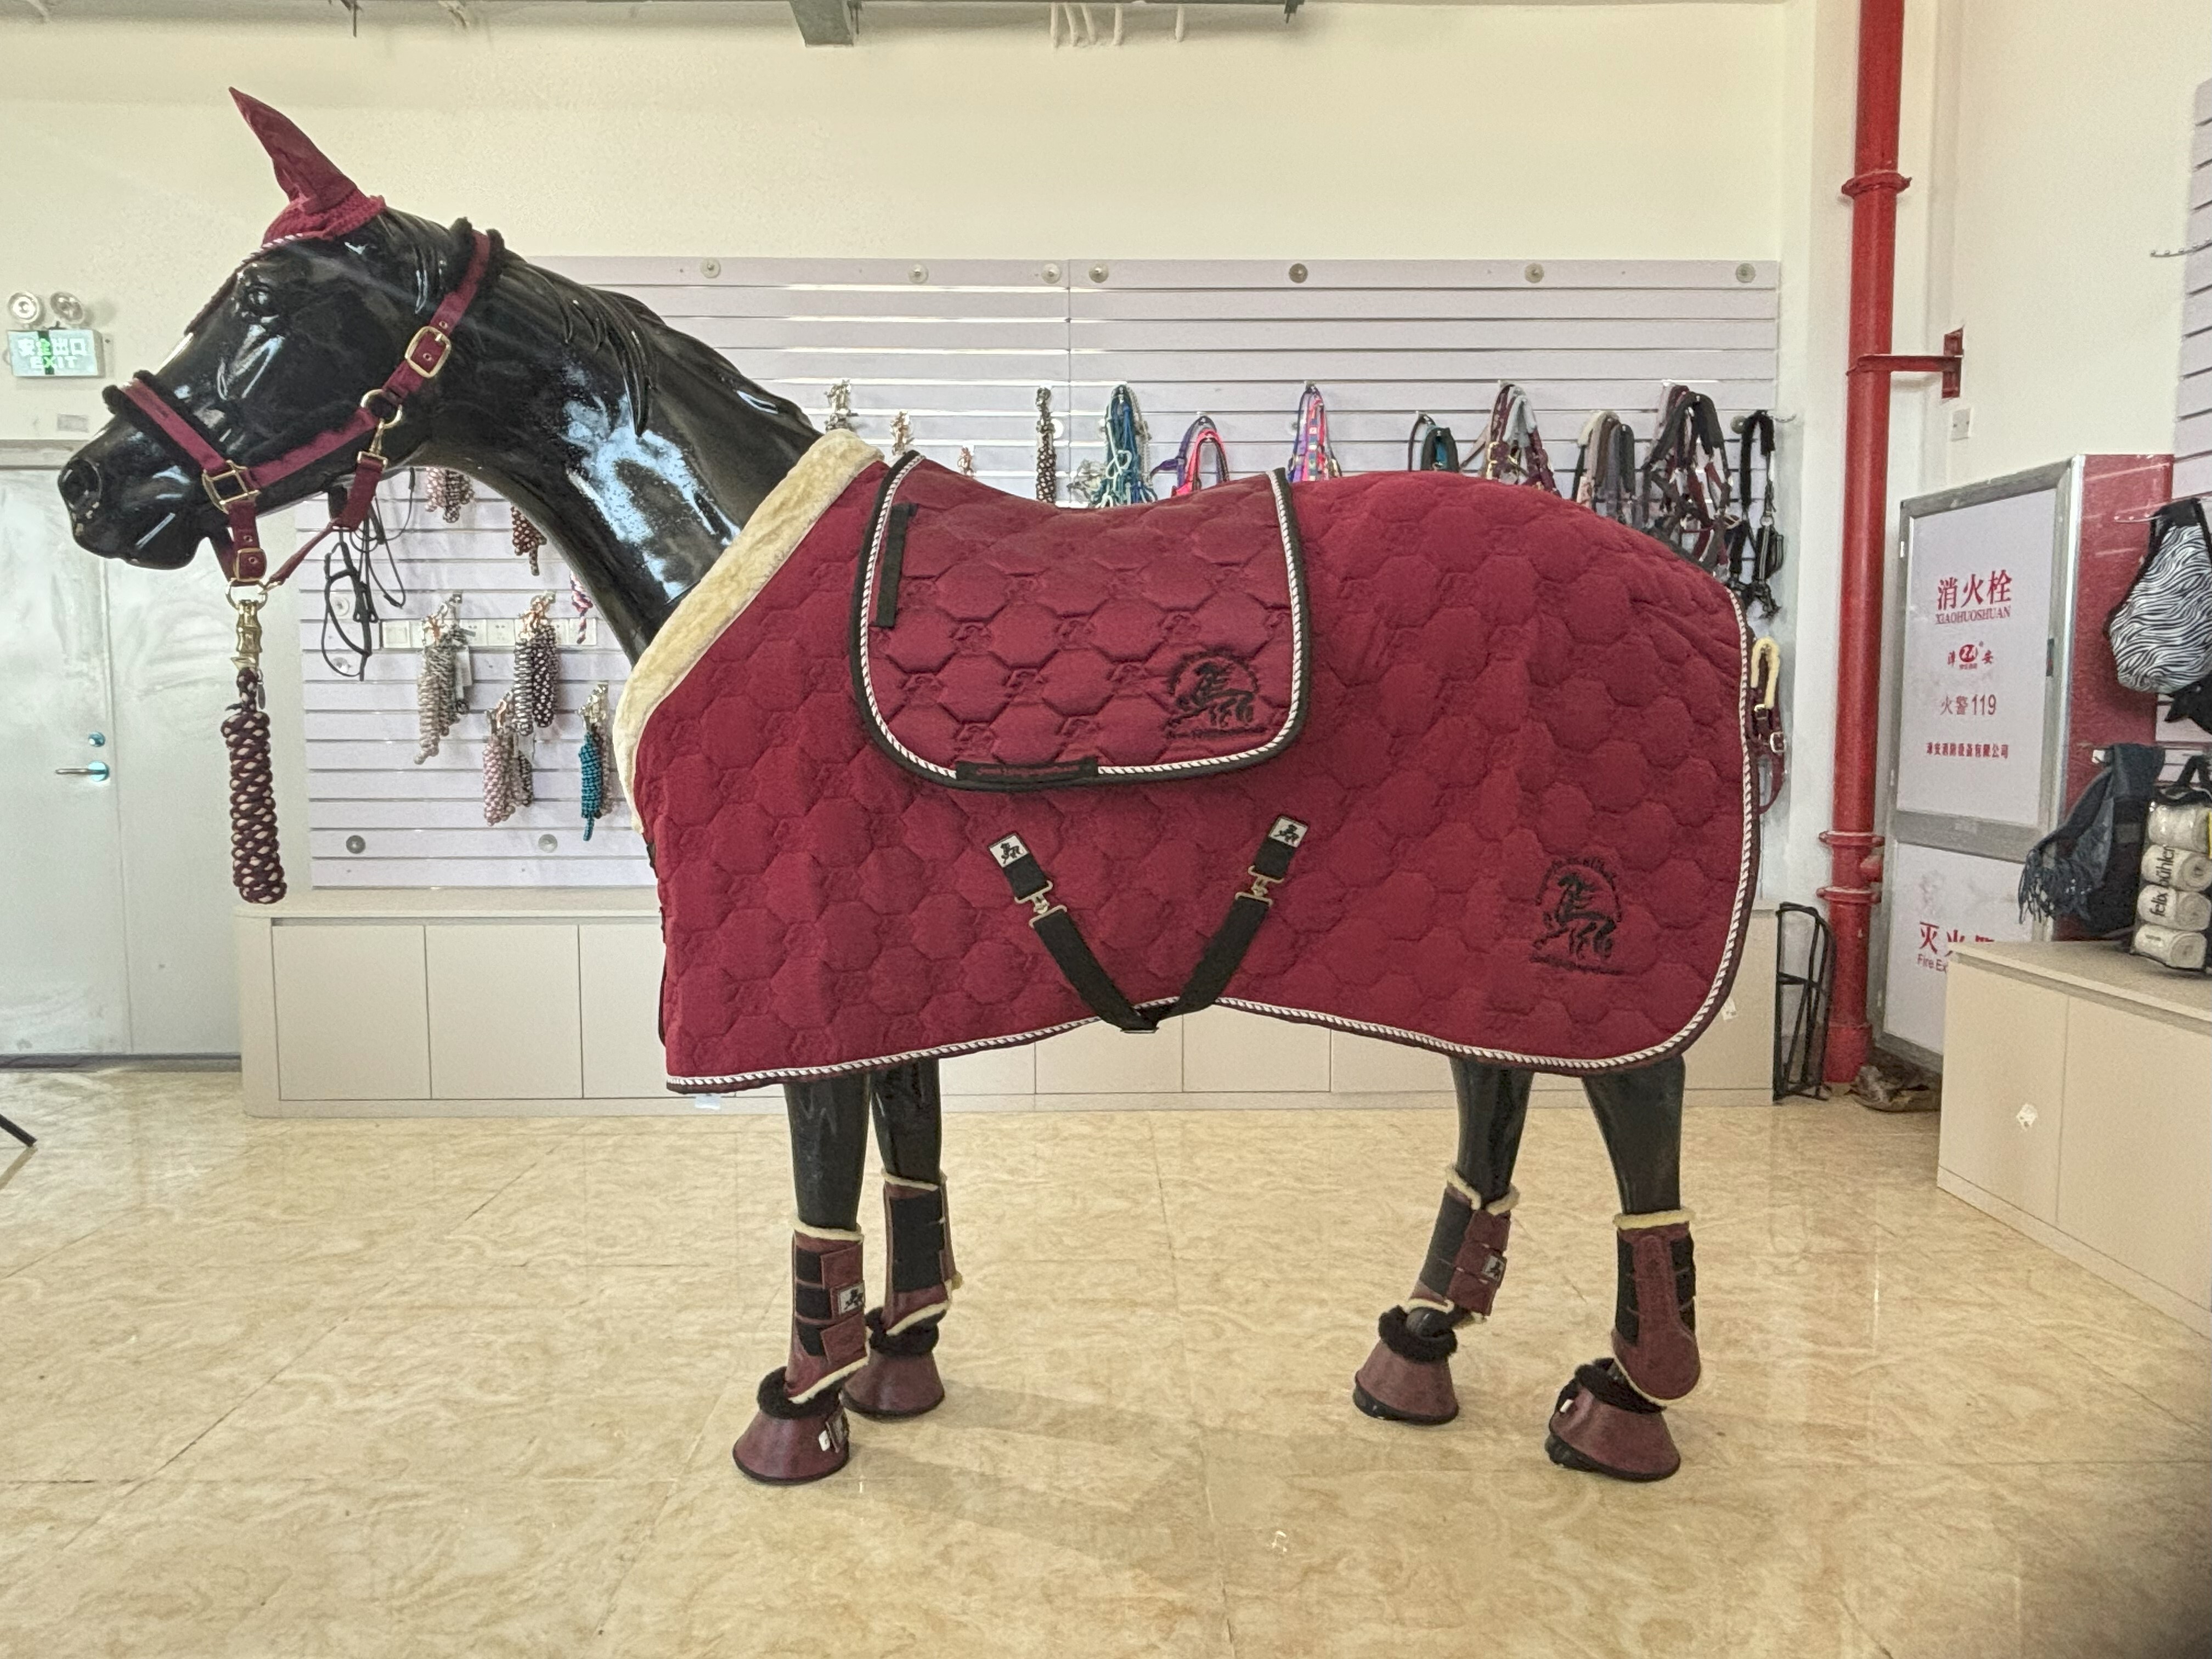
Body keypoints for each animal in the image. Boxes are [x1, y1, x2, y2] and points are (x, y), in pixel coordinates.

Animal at [62, 93, 1746, 1487]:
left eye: (268, 302)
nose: (93, 485)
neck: (725, 535)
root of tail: (1700, 593)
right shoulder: (887, 949)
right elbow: (907, 1147)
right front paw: (902, 1355)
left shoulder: (796, 952)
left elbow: (825, 1180)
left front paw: (798, 1407)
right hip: (1457, 933)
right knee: (1495, 1092)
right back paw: (1417, 1347)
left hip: (1576, 928)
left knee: (1638, 1106)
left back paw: (1627, 1399)